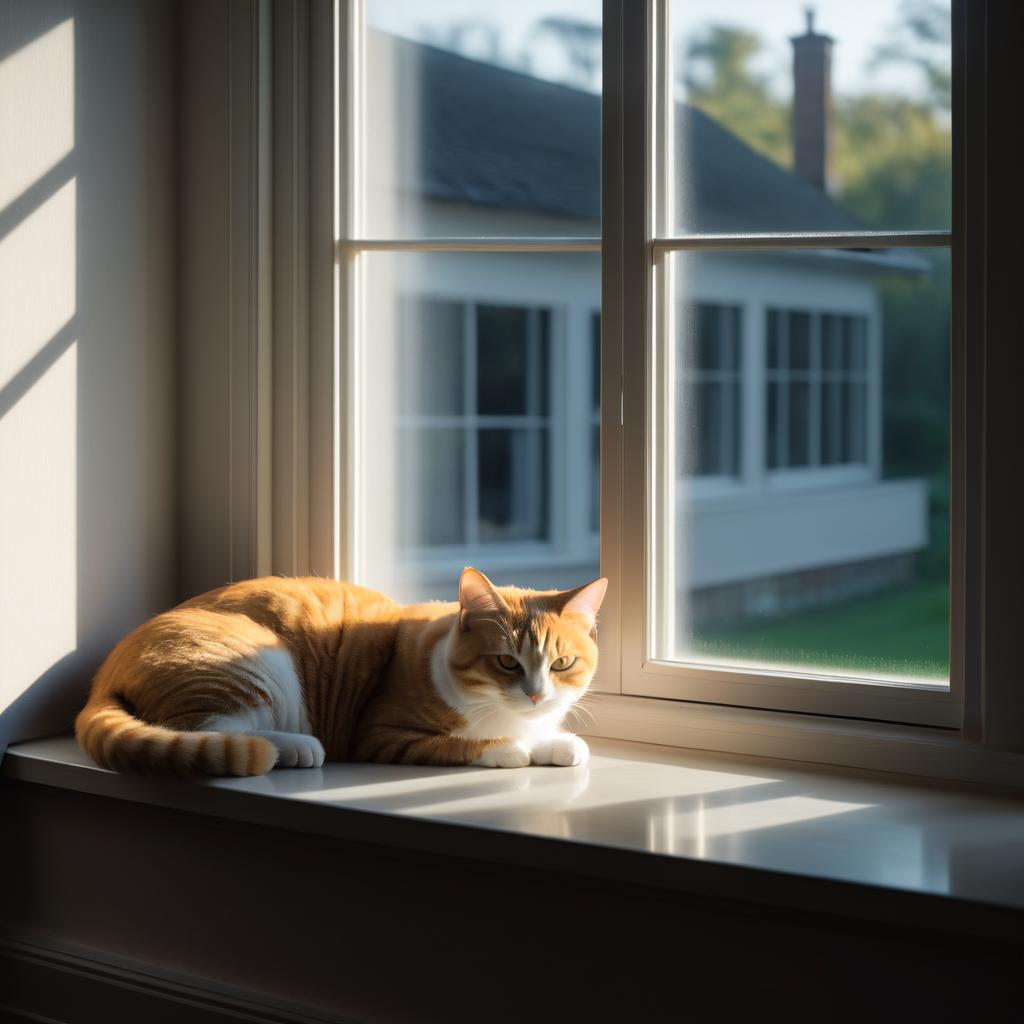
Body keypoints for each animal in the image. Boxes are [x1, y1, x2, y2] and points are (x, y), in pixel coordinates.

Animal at [75, 569, 602, 774]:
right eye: (507, 661)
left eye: (562, 664)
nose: (536, 695)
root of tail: (103, 674)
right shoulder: (382, 733)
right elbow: (478, 745)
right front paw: (515, 748)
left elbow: (551, 737)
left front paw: (559, 743)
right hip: (253, 665)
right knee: (209, 730)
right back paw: (296, 747)